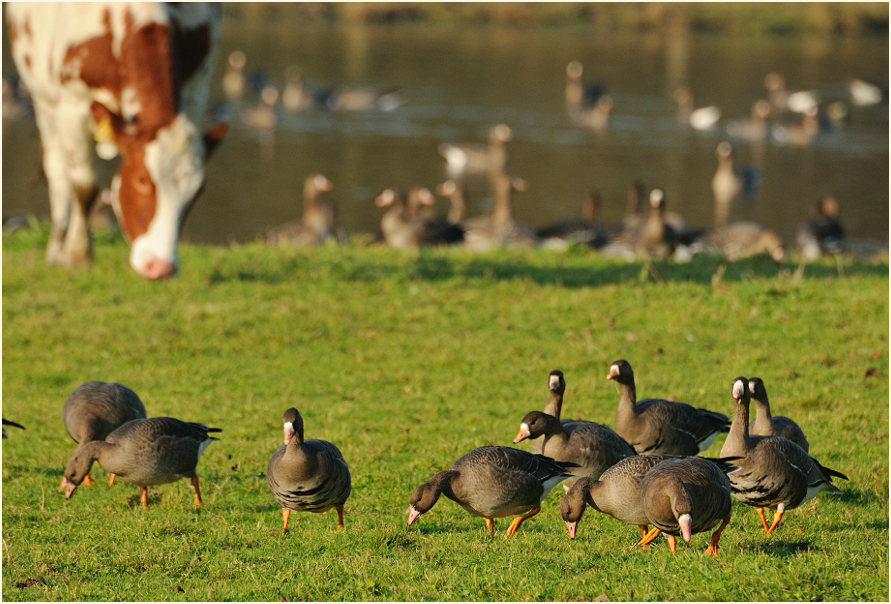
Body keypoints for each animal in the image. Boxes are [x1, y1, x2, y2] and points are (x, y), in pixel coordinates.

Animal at [6, 2, 226, 280]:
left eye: (198, 190)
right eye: (141, 180)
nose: (161, 267)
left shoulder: (195, 93)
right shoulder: (71, 104)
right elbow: (85, 186)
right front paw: (78, 256)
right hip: (42, 99)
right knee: (58, 172)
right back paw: (57, 250)